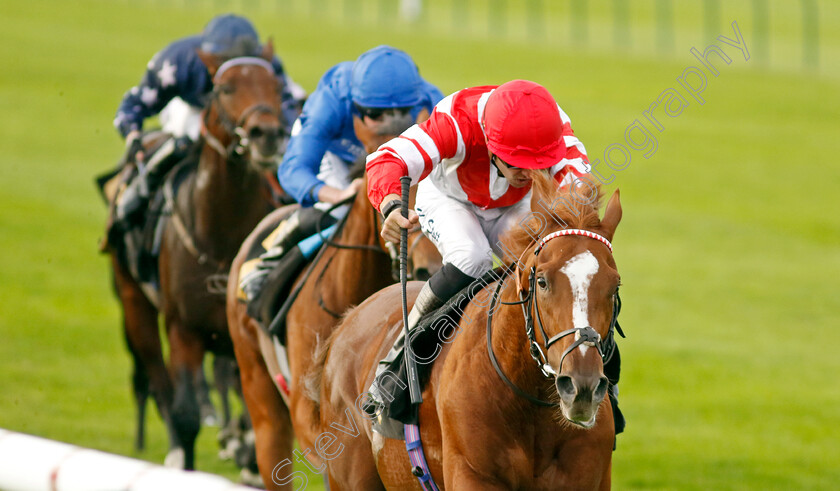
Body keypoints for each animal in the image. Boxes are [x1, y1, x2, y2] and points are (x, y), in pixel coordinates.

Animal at [108, 44, 288, 470]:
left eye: (275, 86)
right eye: (223, 88)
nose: (266, 135)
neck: (221, 235)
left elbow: (253, 418)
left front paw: (240, 446)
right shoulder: (184, 330)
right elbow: (186, 413)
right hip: (135, 304)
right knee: (159, 383)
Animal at [312, 175, 620, 490]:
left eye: (615, 286)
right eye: (543, 282)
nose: (583, 386)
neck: (532, 402)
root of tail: (348, 320)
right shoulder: (472, 473)